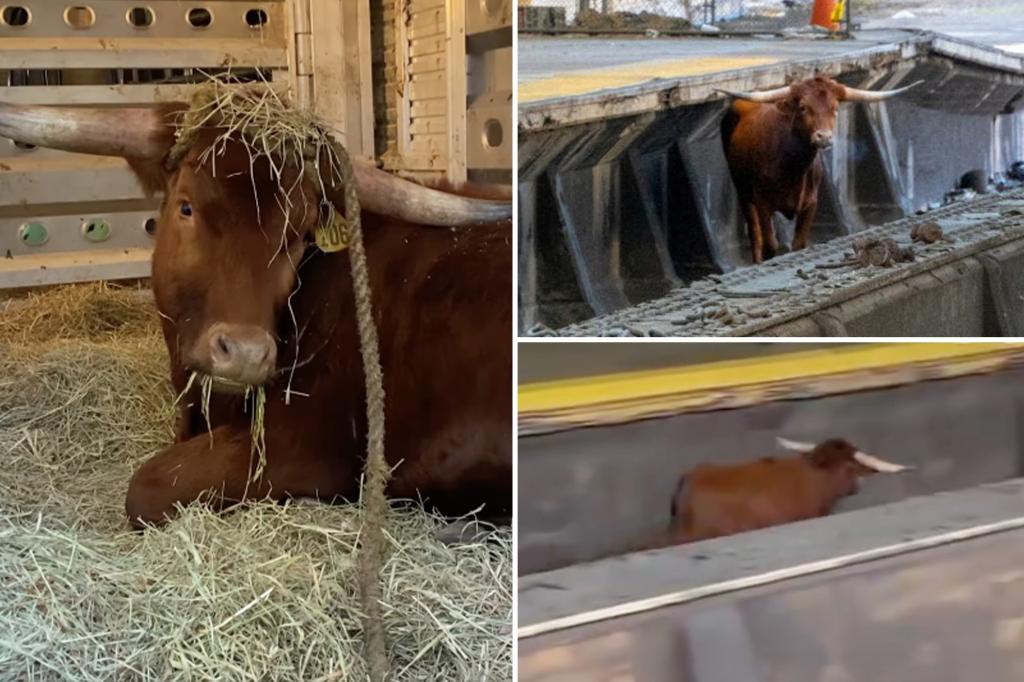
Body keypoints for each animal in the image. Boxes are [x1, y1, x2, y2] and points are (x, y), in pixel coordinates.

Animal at [719, 76, 921, 264]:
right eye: (803, 107)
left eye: (835, 107)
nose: (823, 137)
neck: (791, 168)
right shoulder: (763, 203)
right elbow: (770, 245)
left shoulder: (810, 203)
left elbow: (799, 244)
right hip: (743, 193)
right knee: (755, 235)